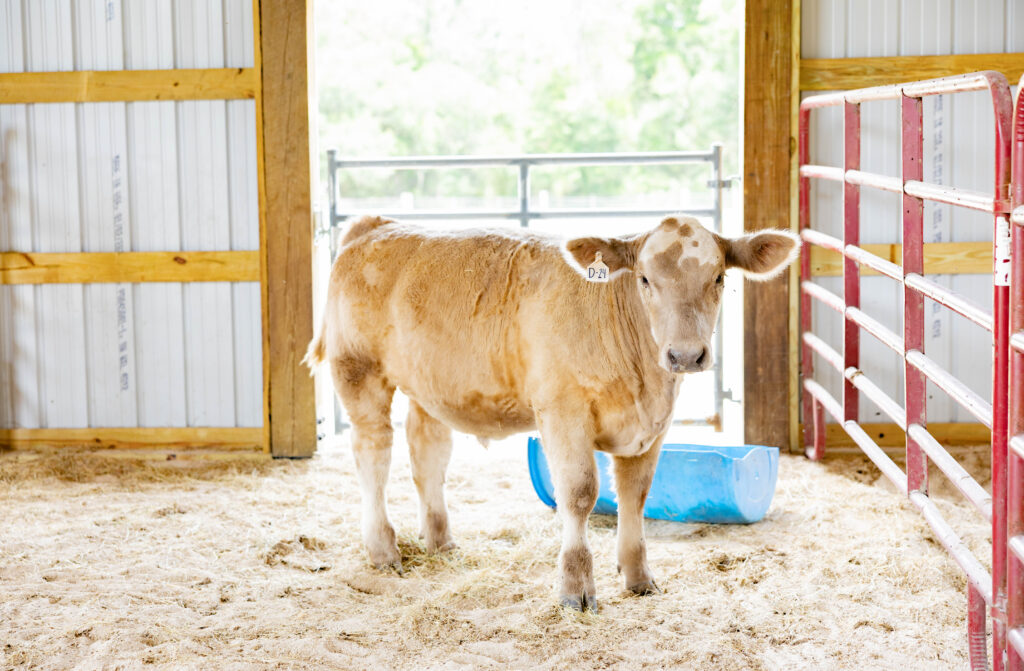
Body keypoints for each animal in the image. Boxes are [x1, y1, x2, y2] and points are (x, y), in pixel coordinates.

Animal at [304, 214, 798, 611]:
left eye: (718, 278)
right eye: (644, 279)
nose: (686, 355)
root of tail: (375, 225)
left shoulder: (652, 427)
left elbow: (636, 494)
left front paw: (639, 578)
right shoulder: (563, 412)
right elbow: (578, 494)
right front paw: (575, 589)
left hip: (429, 385)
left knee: (427, 455)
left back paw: (441, 543)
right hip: (359, 371)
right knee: (373, 454)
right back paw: (383, 550)